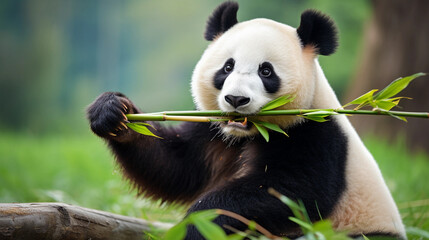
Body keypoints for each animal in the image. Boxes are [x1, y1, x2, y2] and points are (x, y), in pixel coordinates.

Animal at [87, 1, 404, 240]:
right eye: (228, 67)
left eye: (266, 71)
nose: (236, 100)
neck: (250, 133)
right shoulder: (213, 131)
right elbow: (175, 167)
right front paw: (114, 113)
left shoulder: (314, 134)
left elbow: (290, 192)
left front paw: (198, 223)